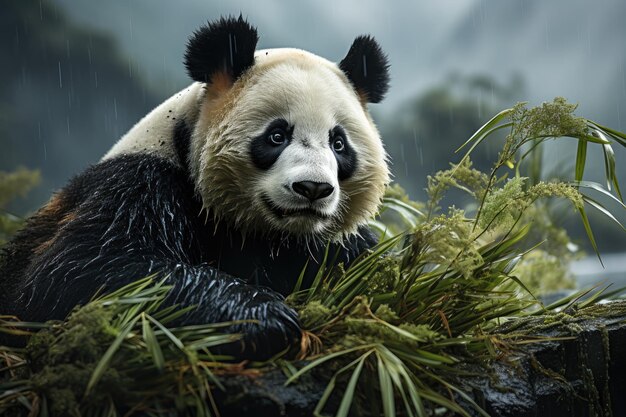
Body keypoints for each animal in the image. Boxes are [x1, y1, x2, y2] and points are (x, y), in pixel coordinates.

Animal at [0, 14, 388, 356]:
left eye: (338, 144)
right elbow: (84, 267)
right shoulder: (140, 183)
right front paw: (264, 315)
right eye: (277, 135)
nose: (312, 188)